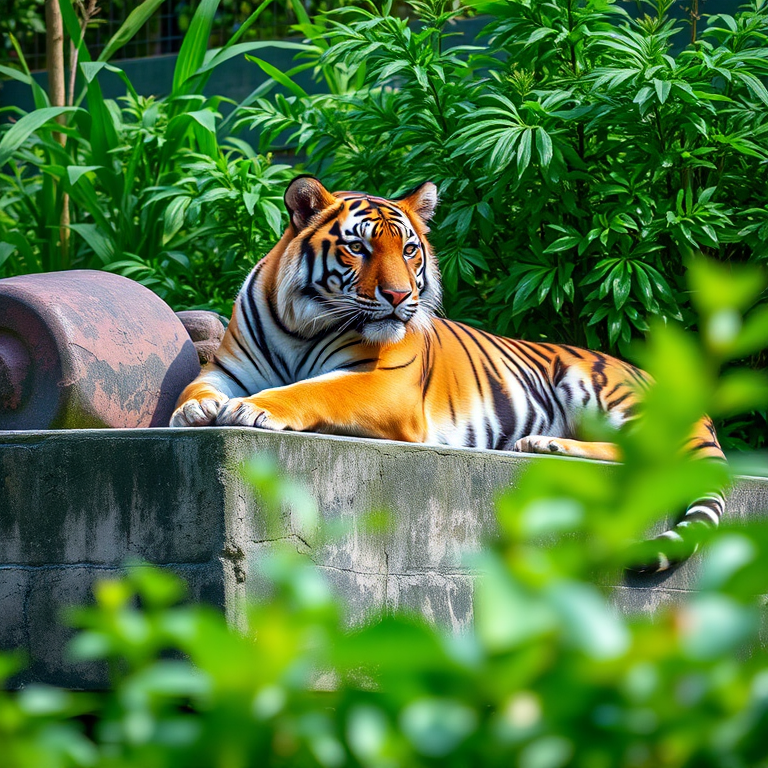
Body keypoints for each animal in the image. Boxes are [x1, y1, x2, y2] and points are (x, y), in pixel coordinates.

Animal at [170, 175, 726, 573]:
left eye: (408, 250)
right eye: (358, 248)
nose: (399, 296)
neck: (300, 325)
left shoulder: (383, 384)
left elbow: (313, 391)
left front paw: (253, 409)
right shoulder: (227, 367)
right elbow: (195, 386)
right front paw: (193, 411)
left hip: (596, 386)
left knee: (656, 459)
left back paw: (545, 445)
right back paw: (542, 444)